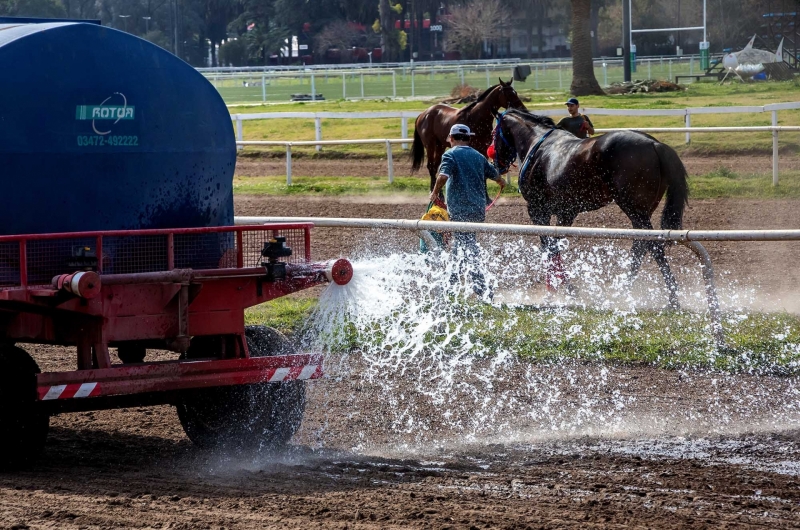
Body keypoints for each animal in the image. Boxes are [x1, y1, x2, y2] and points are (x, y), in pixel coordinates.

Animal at [490, 108, 692, 306]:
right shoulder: (566, 212)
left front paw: (564, 290)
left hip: (634, 209)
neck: (538, 145)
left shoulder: (538, 210)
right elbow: (554, 247)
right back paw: (624, 291)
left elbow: (550, 248)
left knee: (653, 246)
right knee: (641, 246)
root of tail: (654, 144)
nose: (494, 161)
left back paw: (672, 298)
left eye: (493, 133)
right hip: (642, 212)